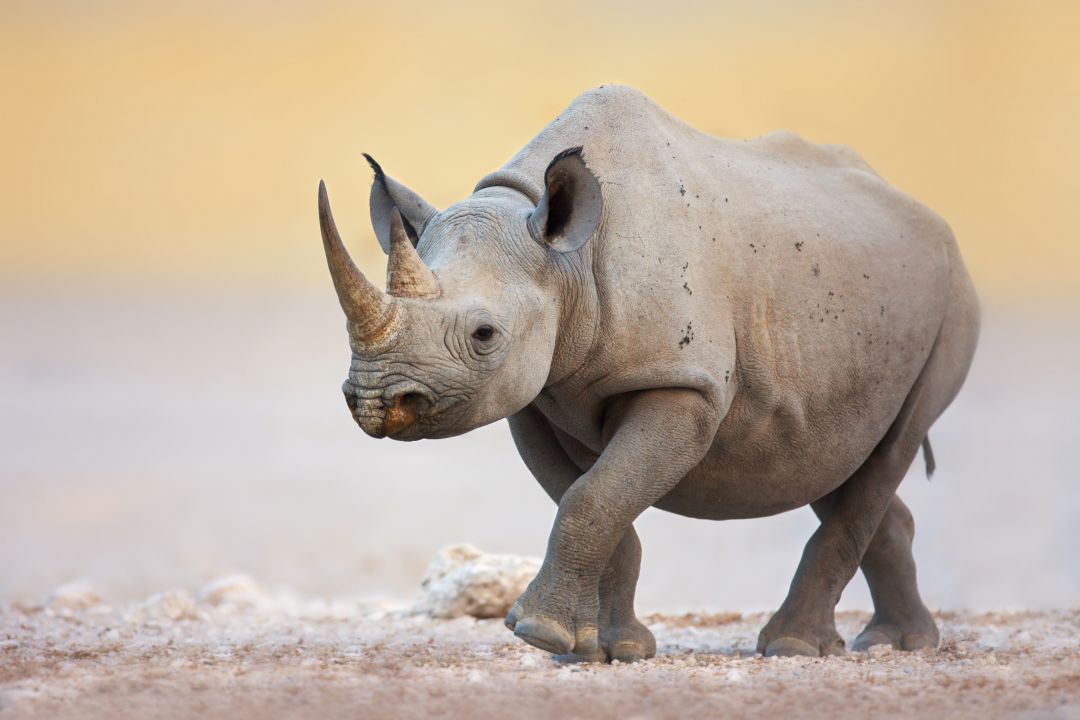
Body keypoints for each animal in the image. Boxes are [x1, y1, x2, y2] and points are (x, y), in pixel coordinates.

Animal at [317, 85, 979, 662]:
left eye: (484, 335)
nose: (376, 401)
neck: (566, 261)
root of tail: (928, 217)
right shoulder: (535, 396)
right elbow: (596, 498)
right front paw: (603, 650)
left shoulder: (683, 382)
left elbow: (594, 495)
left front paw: (538, 633)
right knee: (833, 458)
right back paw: (896, 643)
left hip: (951, 300)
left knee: (892, 446)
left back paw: (796, 647)